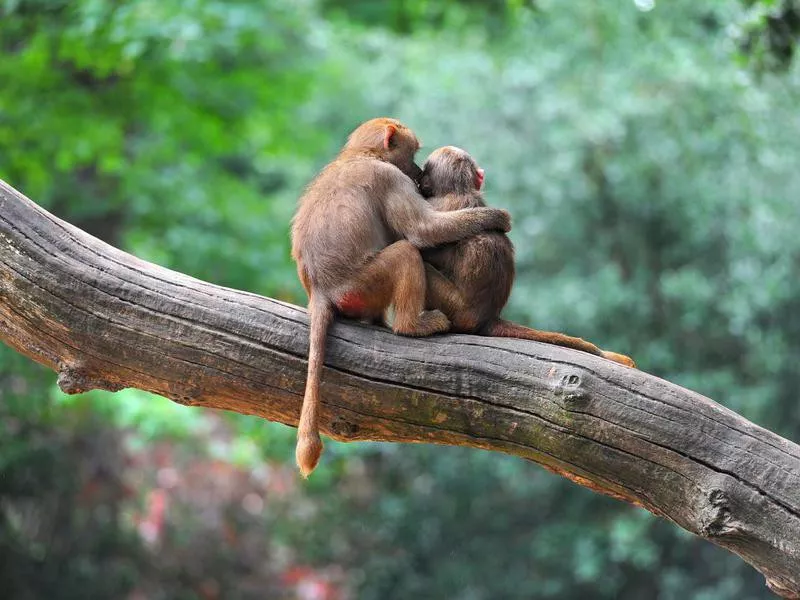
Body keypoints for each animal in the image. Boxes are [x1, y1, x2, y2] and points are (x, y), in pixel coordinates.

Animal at [290, 118, 510, 478]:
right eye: (414, 153)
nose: (419, 174)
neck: (361, 154)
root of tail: (320, 290)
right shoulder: (390, 179)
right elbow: (422, 233)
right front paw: (497, 218)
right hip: (361, 285)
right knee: (406, 252)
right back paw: (412, 326)